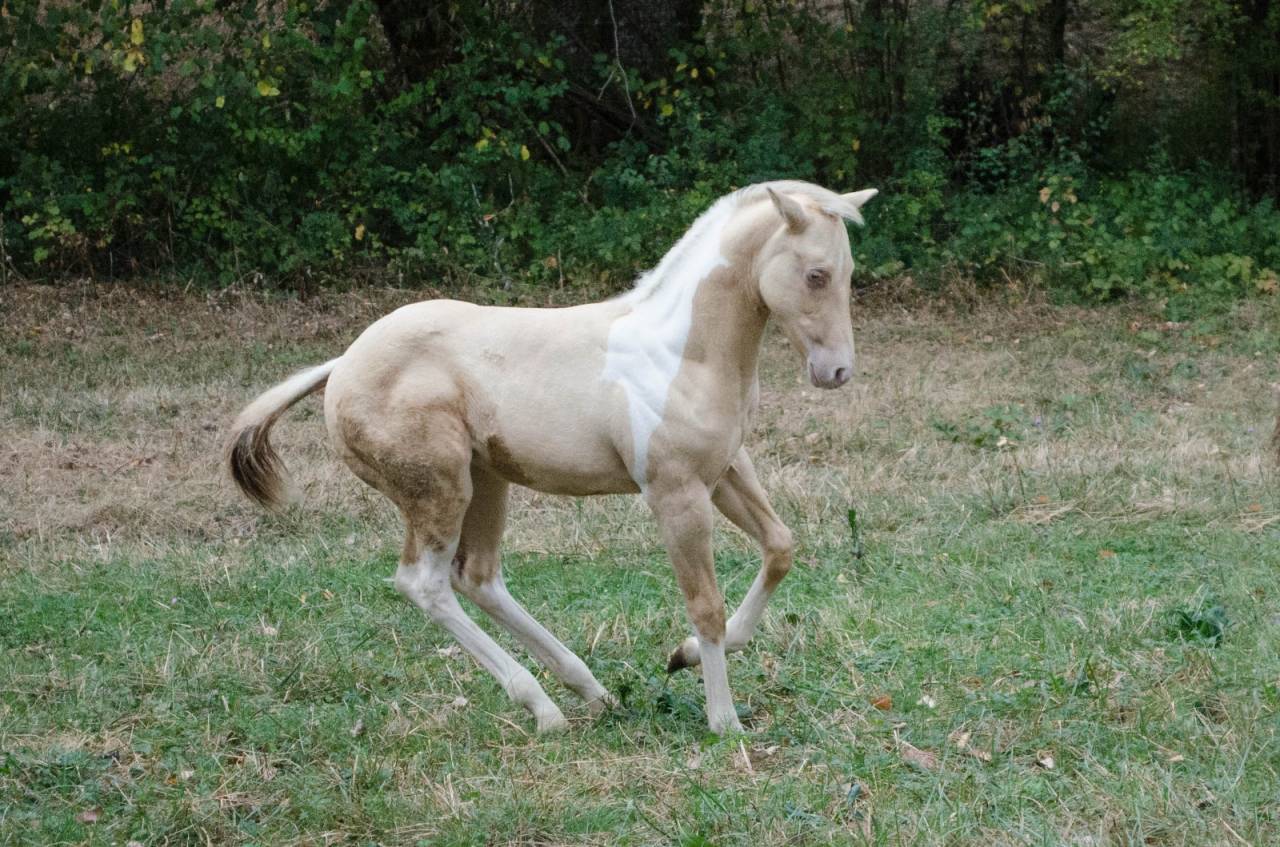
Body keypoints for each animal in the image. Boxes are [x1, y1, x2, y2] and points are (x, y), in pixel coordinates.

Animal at [226, 180, 876, 733]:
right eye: (816, 275)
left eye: (846, 273)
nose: (837, 372)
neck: (682, 352)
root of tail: (343, 364)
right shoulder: (675, 493)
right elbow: (706, 606)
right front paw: (724, 722)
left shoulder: (725, 472)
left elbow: (781, 548)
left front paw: (681, 657)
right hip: (439, 488)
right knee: (425, 584)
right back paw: (544, 707)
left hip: (487, 480)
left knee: (479, 577)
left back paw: (590, 691)